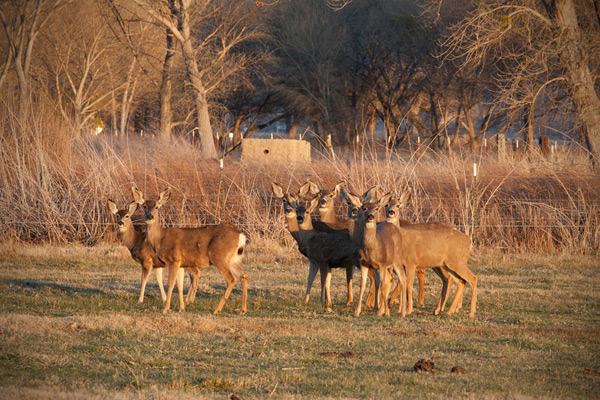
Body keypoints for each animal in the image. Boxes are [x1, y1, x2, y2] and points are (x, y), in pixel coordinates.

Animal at [133, 188, 248, 316]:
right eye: (144, 206)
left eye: (157, 207)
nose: (150, 216)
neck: (160, 239)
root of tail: (241, 235)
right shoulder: (181, 263)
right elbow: (180, 286)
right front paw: (181, 308)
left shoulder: (173, 259)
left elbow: (170, 284)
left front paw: (165, 309)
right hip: (233, 259)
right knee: (243, 275)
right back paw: (242, 310)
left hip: (219, 257)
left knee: (231, 279)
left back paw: (217, 310)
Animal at [340, 189, 406, 318]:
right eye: (364, 208)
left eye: (376, 208)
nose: (370, 216)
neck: (372, 248)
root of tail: (393, 226)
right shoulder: (364, 264)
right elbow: (362, 286)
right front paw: (357, 312)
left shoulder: (382, 264)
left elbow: (383, 285)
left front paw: (387, 312)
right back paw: (380, 308)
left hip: (396, 260)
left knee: (402, 278)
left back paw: (403, 311)